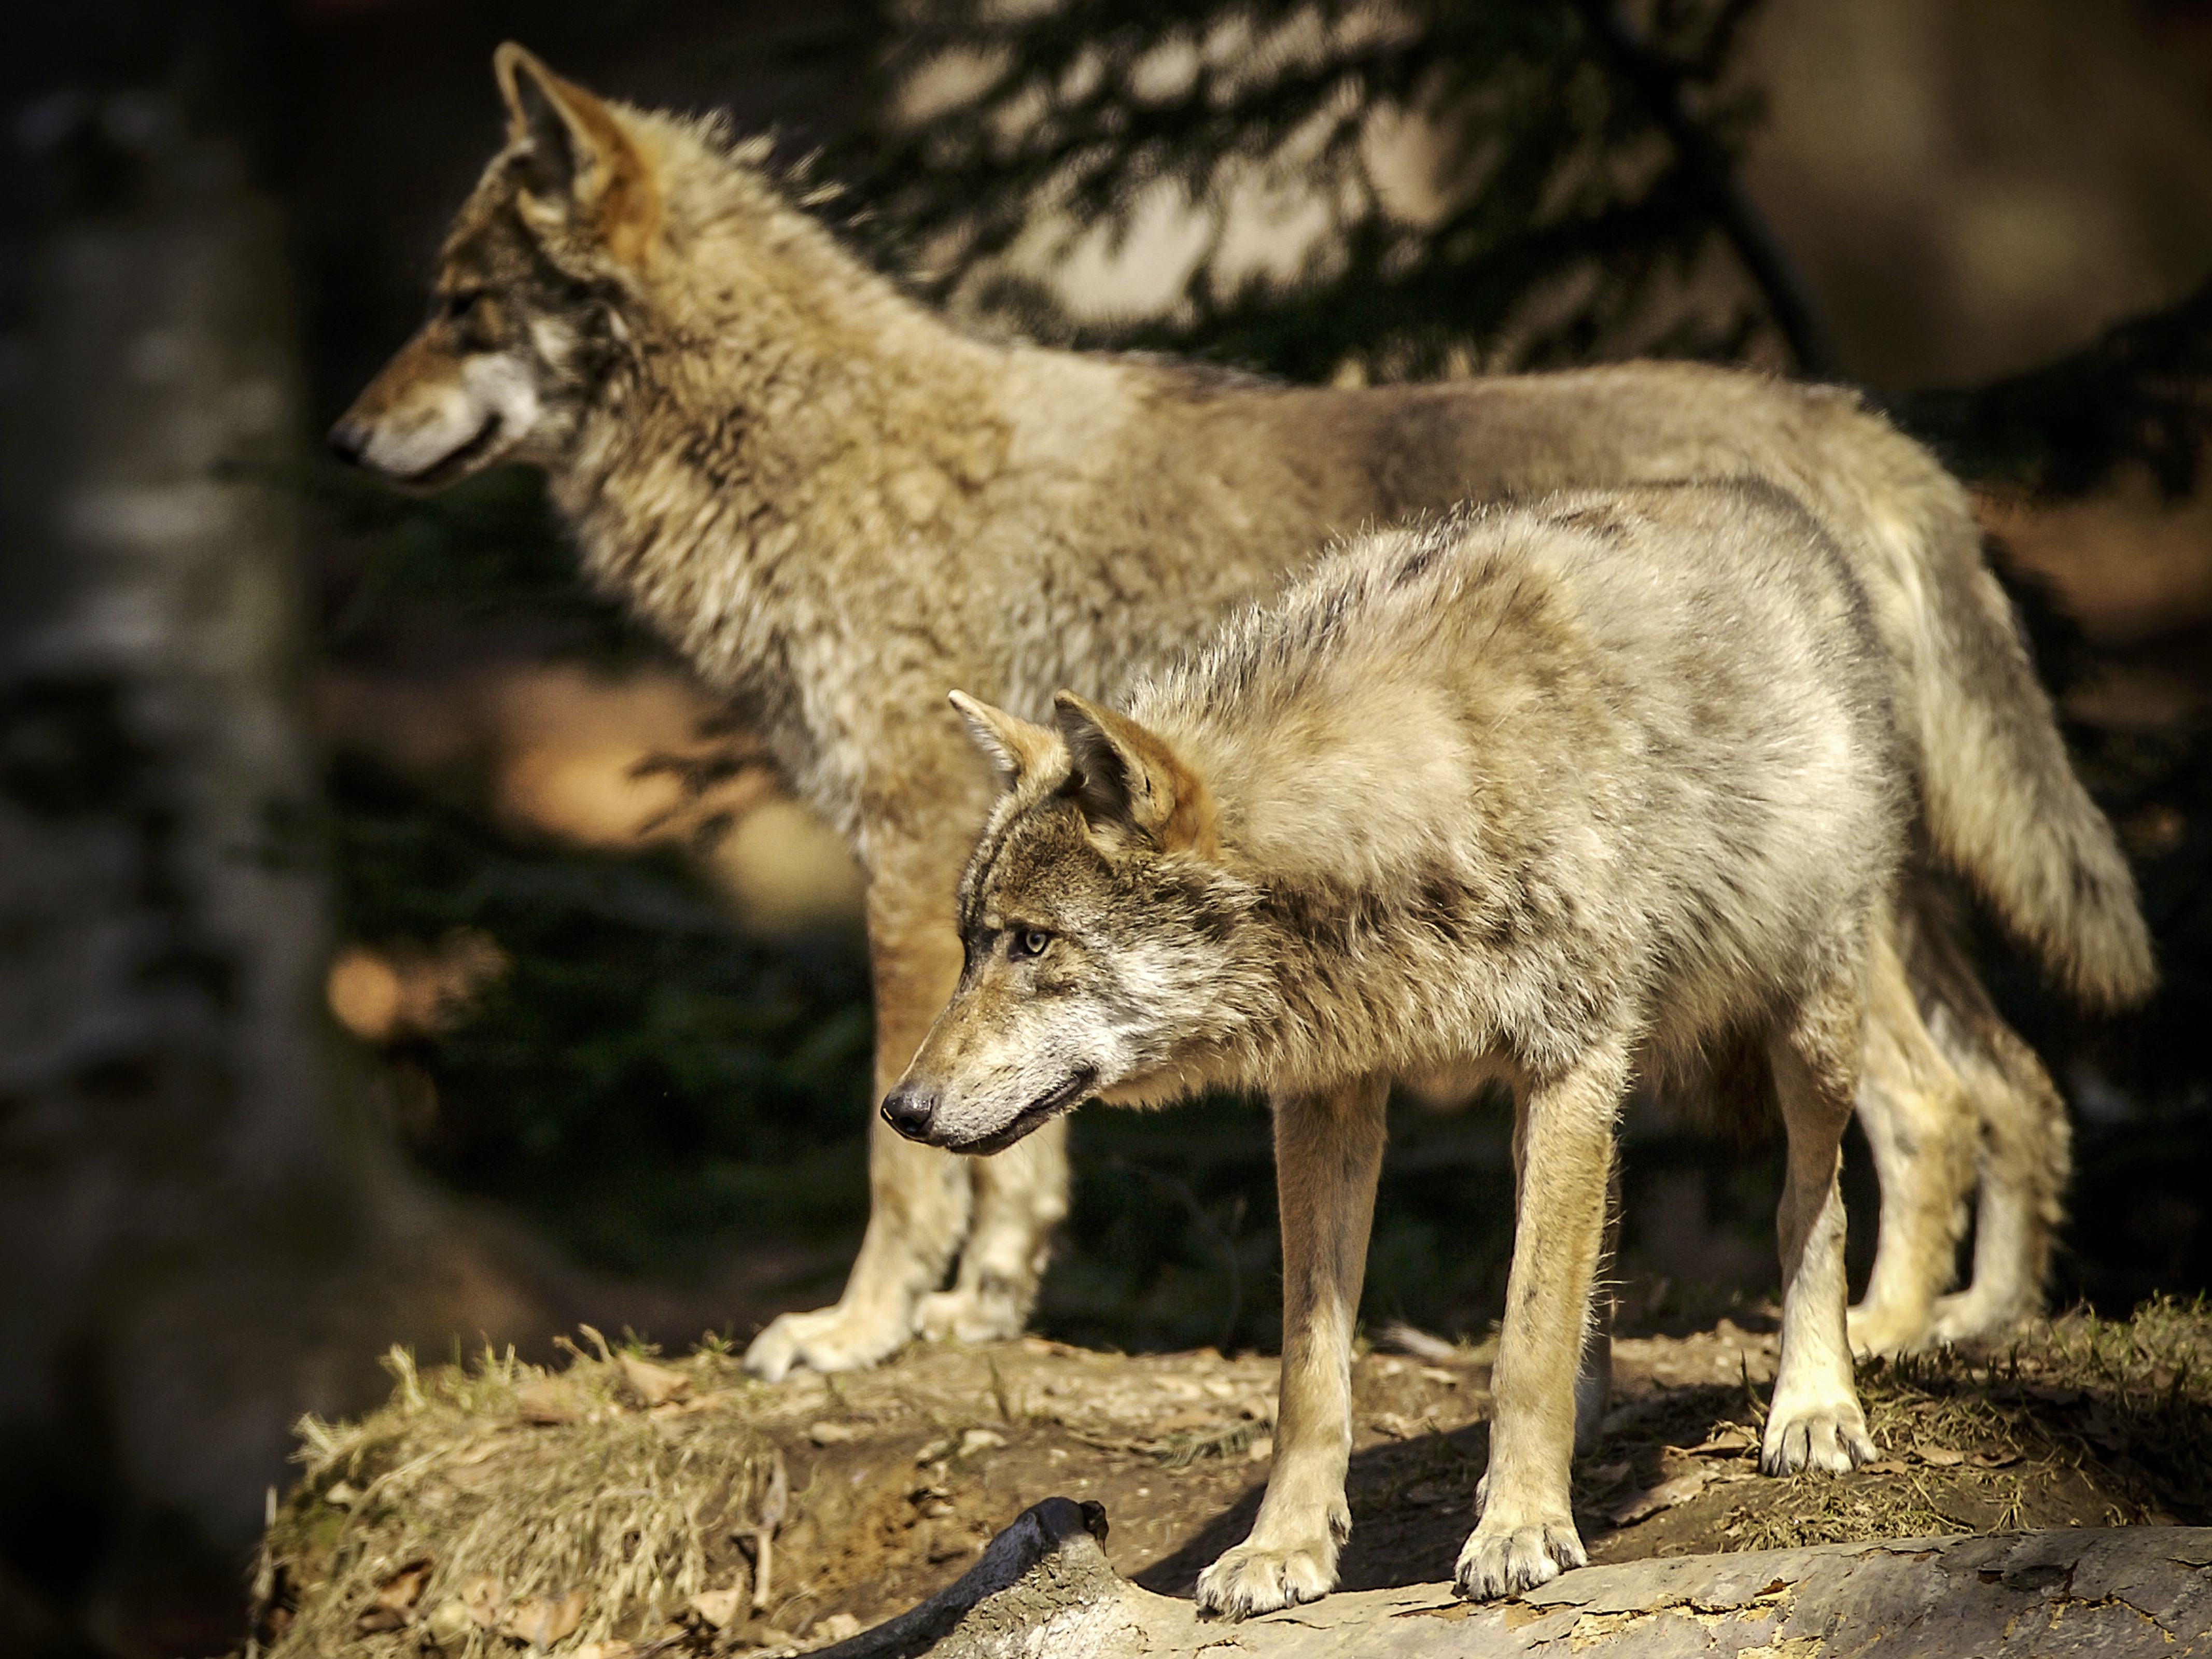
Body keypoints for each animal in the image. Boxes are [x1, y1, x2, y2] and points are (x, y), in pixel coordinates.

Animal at [330, 46, 2152, 1381]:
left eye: (462, 310)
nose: (343, 440)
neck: (827, 462)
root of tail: (1854, 425)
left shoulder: (910, 862)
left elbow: (900, 1157)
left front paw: (854, 1330)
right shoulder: (987, 904)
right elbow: (1007, 1147)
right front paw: (977, 1317)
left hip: (1810, 919)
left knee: (1931, 1102)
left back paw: (1879, 1340)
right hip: (1876, 898)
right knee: (2023, 1092)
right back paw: (1983, 1329)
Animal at [890, 481, 1906, 1609]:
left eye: (1034, 942)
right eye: (971, 943)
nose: (902, 1109)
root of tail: (1768, 502)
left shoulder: (1569, 1057)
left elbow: (1527, 1337)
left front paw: (1522, 1525)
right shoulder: (1327, 1096)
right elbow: (1311, 1368)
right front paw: (1283, 1547)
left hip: (1807, 1026)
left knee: (1812, 1200)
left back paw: (1813, 1406)